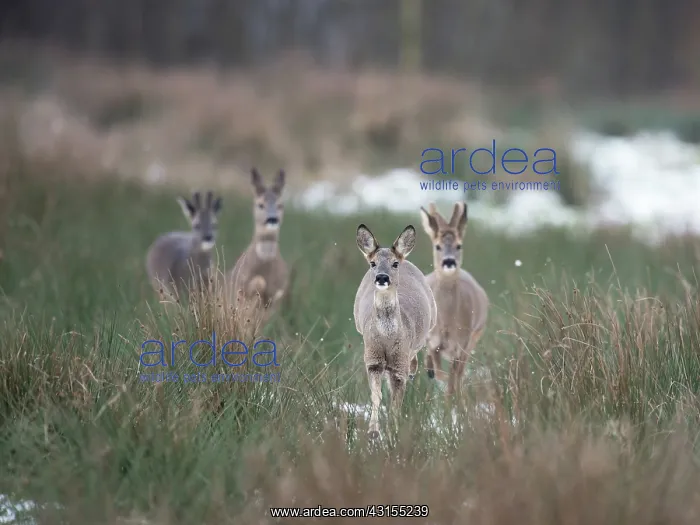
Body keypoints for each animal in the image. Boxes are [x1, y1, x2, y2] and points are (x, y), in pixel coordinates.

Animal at [353, 224, 437, 440]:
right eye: (373, 263)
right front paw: (373, 432)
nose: (382, 277)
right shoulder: (372, 358)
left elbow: (396, 403)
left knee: (413, 364)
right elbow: (377, 395)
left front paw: (394, 432)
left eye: (394, 264)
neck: (386, 338)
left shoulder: (400, 362)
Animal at [419, 201, 489, 397]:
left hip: (474, 338)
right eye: (437, 246)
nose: (449, 262)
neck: (446, 323)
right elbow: (439, 372)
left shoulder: (461, 344)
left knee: (459, 374)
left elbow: (452, 379)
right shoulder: (433, 342)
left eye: (459, 246)